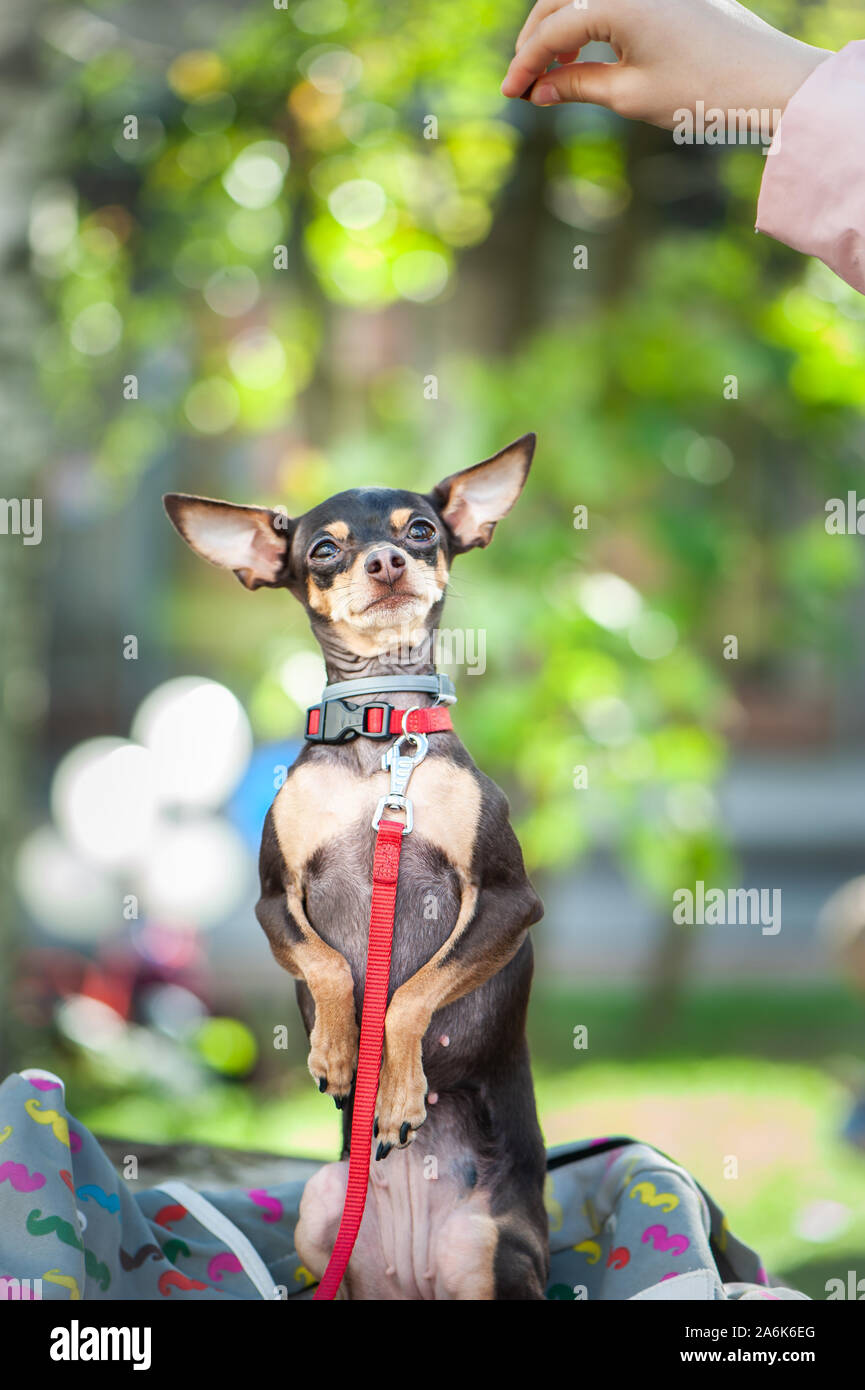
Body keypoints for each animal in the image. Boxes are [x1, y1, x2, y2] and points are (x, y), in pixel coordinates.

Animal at [164, 428, 547, 1295]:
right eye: (324, 550)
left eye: (422, 531)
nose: (385, 561)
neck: (380, 732)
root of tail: (409, 1276)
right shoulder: (276, 900)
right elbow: (333, 969)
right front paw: (340, 1055)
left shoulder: (508, 902)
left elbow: (408, 996)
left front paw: (395, 1090)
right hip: (319, 1206)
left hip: (495, 1250)